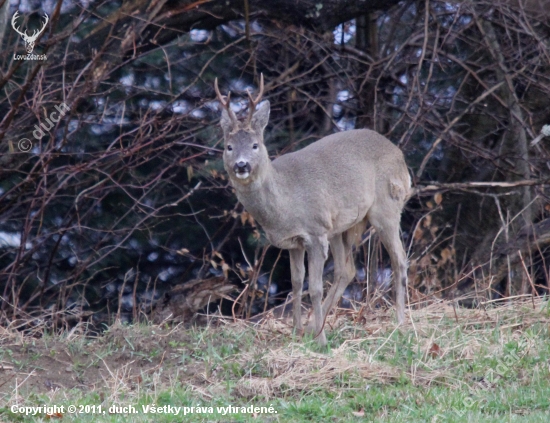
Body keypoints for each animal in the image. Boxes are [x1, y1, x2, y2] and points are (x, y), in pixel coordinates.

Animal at [215, 76, 410, 346]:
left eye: (255, 145)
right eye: (229, 147)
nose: (241, 165)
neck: (284, 204)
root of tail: (400, 155)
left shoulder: (316, 232)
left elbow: (315, 288)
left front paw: (321, 340)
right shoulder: (294, 242)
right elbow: (297, 284)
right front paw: (297, 331)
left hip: (386, 206)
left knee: (399, 258)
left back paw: (400, 323)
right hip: (341, 226)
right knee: (347, 270)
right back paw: (311, 326)